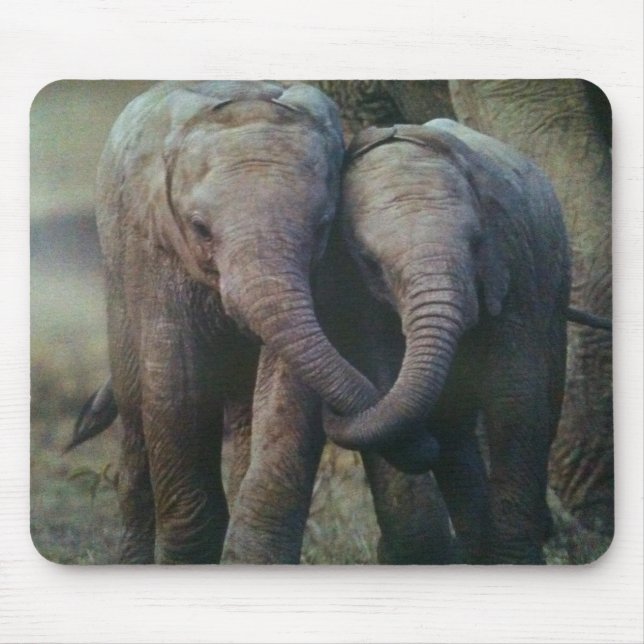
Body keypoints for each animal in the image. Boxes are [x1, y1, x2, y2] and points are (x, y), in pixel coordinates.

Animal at [324, 119, 572, 564]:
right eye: (370, 263)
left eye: (476, 243)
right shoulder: (356, 294)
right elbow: (384, 382)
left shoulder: (513, 266)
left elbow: (515, 399)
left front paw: (516, 558)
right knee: (453, 426)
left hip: (556, 280)